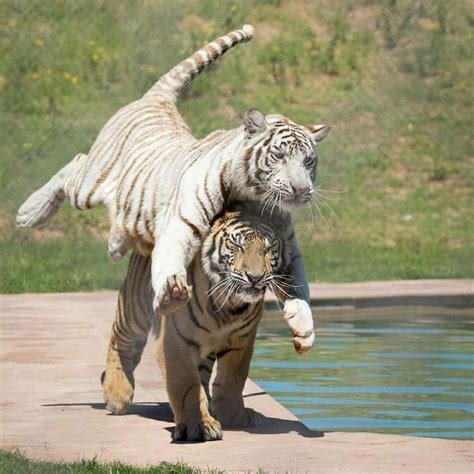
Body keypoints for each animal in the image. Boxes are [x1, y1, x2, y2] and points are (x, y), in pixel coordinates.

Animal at [15, 25, 330, 326]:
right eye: (279, 156)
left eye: (308, 161)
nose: (301, 189)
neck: (251, 196)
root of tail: (157, 99)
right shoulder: (182, 222)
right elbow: (171, 258)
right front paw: (170, 295)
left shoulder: (286, 242)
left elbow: (299, 283)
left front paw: (304, 326)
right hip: (90, 184)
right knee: (74, 165)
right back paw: (29, 212)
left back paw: (115, 245)